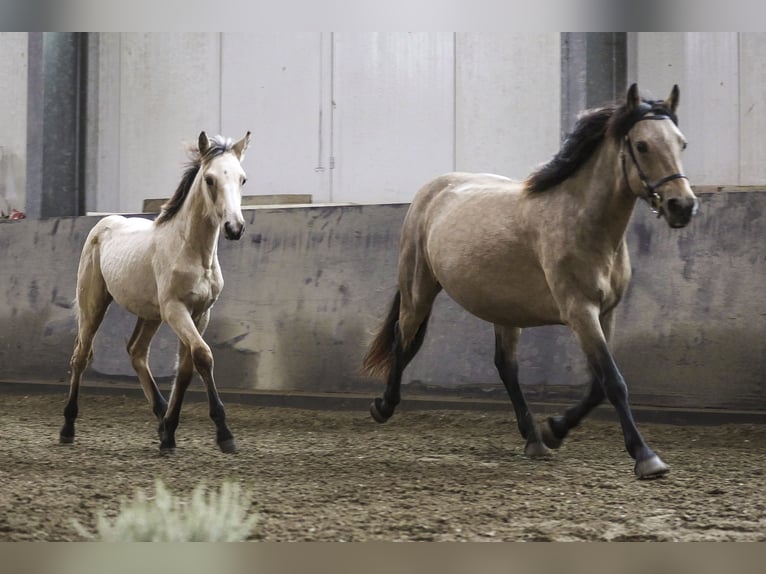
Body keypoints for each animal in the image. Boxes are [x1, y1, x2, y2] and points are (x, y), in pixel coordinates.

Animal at [61, 130, 252, 454]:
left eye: (242, 179)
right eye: (209, 179)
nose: (234, 227)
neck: (191, 250)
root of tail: (105, 223)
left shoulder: (200, 313)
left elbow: (186, 369)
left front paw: (170, 434)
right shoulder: (176, 310)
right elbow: (203, 355)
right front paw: (224, 434)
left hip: (150, 314)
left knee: (136, 351)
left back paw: (162, 418)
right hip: (94, 304)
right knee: (81, 356)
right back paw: (68, 428)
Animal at [364, 84, 700, 482]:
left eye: (681, 143)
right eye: (643, 145)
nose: (683, 206)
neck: (584, 222)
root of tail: (432, 190)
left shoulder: (606, 313)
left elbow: (598, 385)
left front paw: (554, 429)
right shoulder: (579, 311)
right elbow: (613, 382)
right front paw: (646, 457)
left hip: (504, 310)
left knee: (505, 366)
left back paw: (534, 439)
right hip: (419, 289)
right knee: (402, 340)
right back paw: (383, 406)